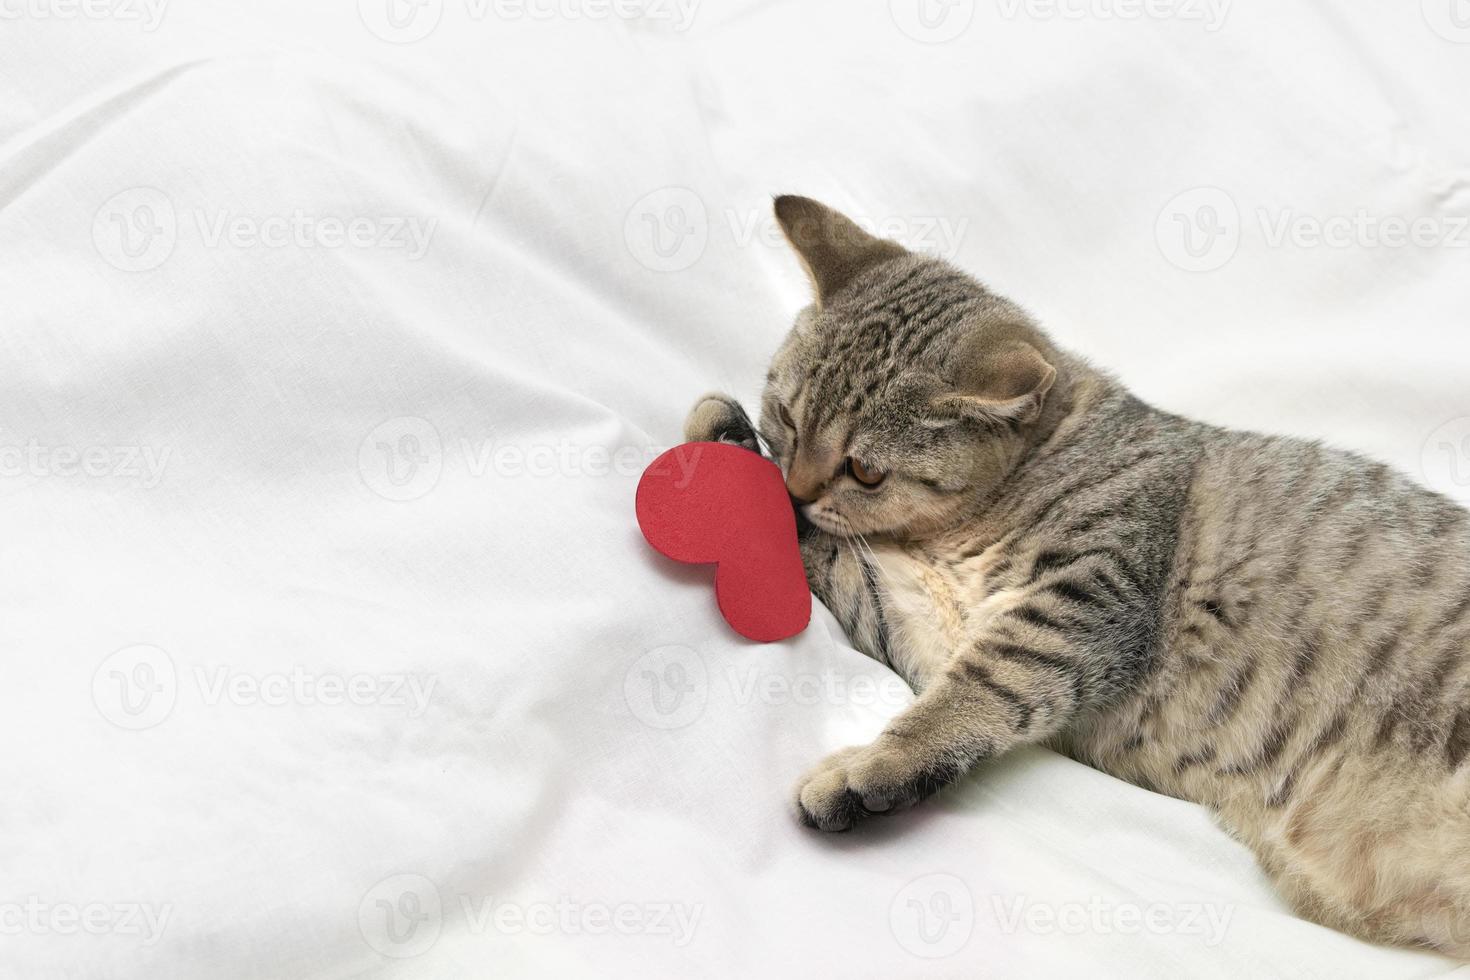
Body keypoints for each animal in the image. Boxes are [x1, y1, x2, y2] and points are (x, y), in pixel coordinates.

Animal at [685, 196, 1470, 957]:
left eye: (866, 470)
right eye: (789, 417)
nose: (797, 489)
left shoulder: (1090, 598)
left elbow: (975, 691)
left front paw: (873, 767)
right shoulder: (924, 618)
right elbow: (842, 565)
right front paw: (731, 465)